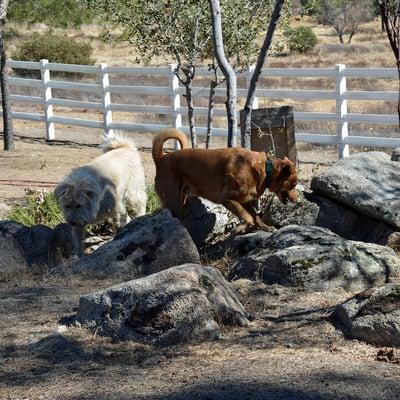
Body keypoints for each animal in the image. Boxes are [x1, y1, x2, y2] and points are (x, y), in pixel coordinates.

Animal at [152, 130, 296, 233]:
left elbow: (254, 215)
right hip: (173, 202)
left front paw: (264, 226)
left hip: (184, 200)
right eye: (293, 185)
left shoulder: (246, 200)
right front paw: (242, 227)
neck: (265, 169)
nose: (296, 200)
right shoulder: (227, 199)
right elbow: (247, 215)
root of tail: (161, 158)